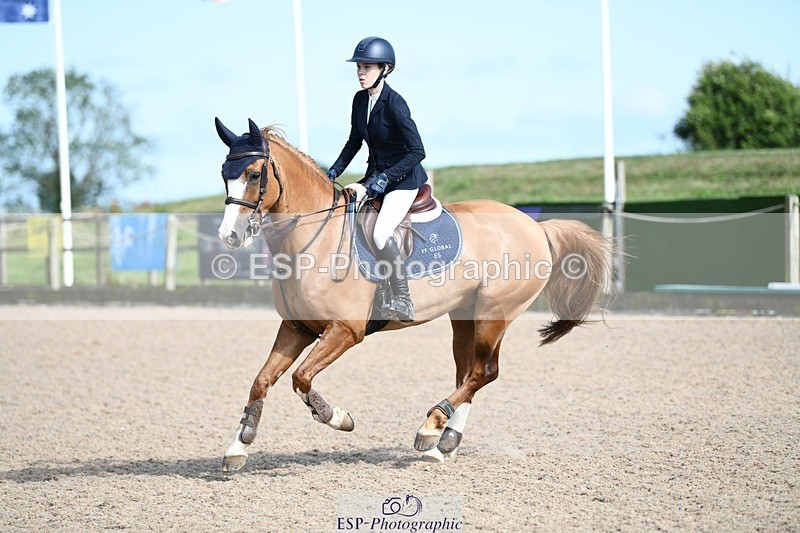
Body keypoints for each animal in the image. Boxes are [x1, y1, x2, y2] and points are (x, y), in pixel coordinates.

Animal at [214, 118, 611, 472]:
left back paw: (430, 427)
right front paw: (238, 446)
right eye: (224, 173)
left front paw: (337, 417)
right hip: (465, 315)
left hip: (495, 312)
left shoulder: (345, 331)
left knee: (482, 372)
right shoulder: (297, 327)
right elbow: (262, 380)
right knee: (469, 373)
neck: (315, 240)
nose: (229, 236)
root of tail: (536, 226)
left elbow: (302, 378)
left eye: (254, 174)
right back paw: (444, 442)